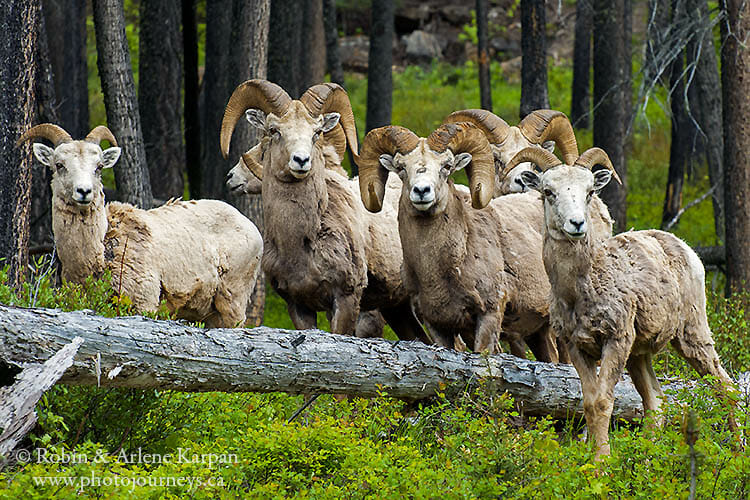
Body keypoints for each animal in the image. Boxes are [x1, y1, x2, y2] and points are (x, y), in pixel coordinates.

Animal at [19, 124, 264, 328]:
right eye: (59, 165)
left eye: (99, 167)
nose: (84, 191)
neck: (97, 256)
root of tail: (250, 226)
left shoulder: (143, 305)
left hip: (232, 304)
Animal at [219, 80, 428, 342]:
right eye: (274, 130)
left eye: (316, 132)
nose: (301, 160)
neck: (298, 241)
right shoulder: (298, 306)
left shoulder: (346, 300)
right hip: (399, 310)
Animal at [358, 122, 564, 360]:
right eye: (401, 168)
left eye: (446, 166)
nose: (422, 191)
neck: (440, 269)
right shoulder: (439, 326)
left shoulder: (489, 315)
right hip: (537, 332)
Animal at [508, 144, 736, 458]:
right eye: (548, 191)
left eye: (590, 191)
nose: (577, 224)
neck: (578, 291)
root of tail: (686, 249)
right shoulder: (576, 346)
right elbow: (590, 403)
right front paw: (594, 460)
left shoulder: (615, 340)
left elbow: (603, 401)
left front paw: (602, 463)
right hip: (640, 354)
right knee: (656, 401)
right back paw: (648, 458)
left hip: (692, 334)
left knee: (726, 388)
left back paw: (738, 450)